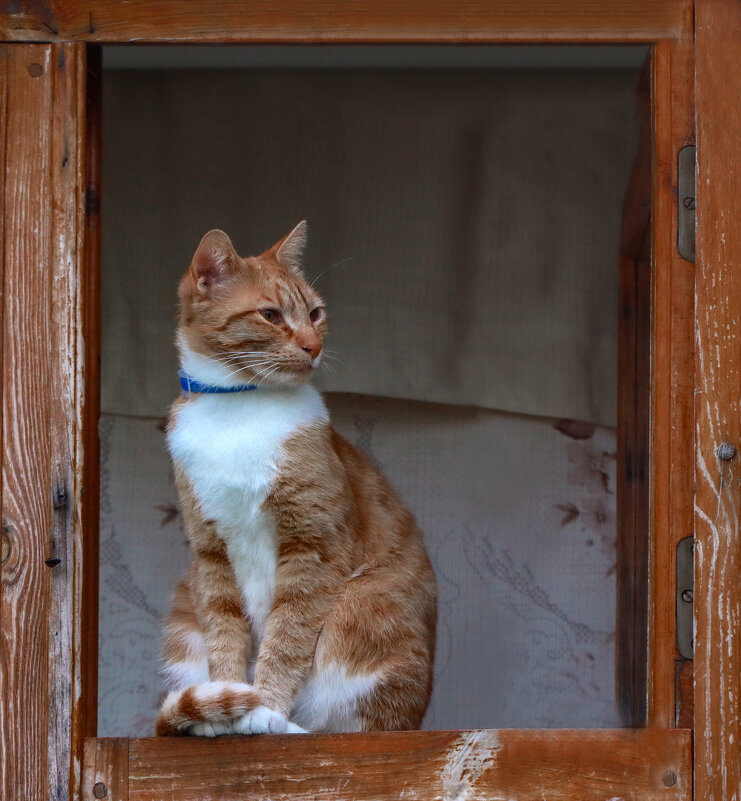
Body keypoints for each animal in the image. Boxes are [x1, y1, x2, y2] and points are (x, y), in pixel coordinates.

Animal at [155, 222, 434, 736]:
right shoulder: (210, 553)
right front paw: (225, 703)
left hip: (363, 610)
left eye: (315, 313)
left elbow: (287, 635)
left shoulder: (313, 545)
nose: (314, 346)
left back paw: (289, 727)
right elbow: (224, 632)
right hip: (185, 614)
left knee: (341, 729)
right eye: (270, 315)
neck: (241, 408)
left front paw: (263, 708)